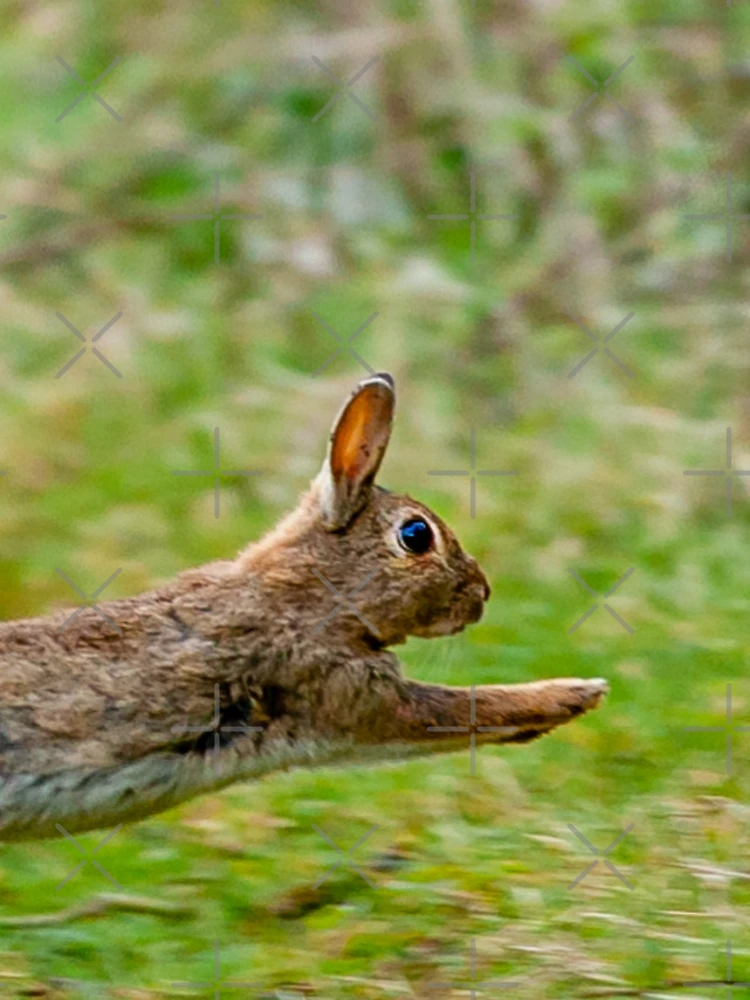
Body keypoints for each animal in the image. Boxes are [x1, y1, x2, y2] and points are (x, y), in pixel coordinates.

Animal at [0, 373, 607, 841]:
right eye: (416, 535)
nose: (481, 594)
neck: (307, 596)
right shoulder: (352, 697)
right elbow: (469, 708)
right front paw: (576, 695)